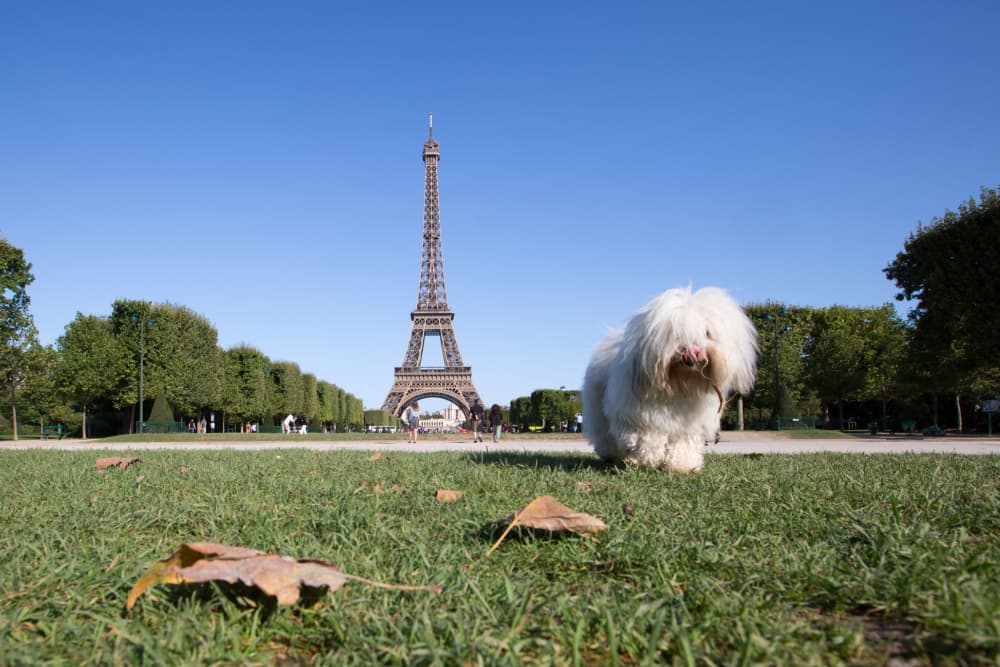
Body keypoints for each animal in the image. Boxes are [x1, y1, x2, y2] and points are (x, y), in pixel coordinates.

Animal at [584, 290, 752, 472]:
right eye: (677, 334)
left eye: (707, 333)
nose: (691, 353)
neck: (679, 384)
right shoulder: (639, 417)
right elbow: (649, 439)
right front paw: (652, 458)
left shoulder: (688, 425)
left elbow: (683, 444)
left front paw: (682, 465)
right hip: (600, 412)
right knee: (607, 437)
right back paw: (616, 456)